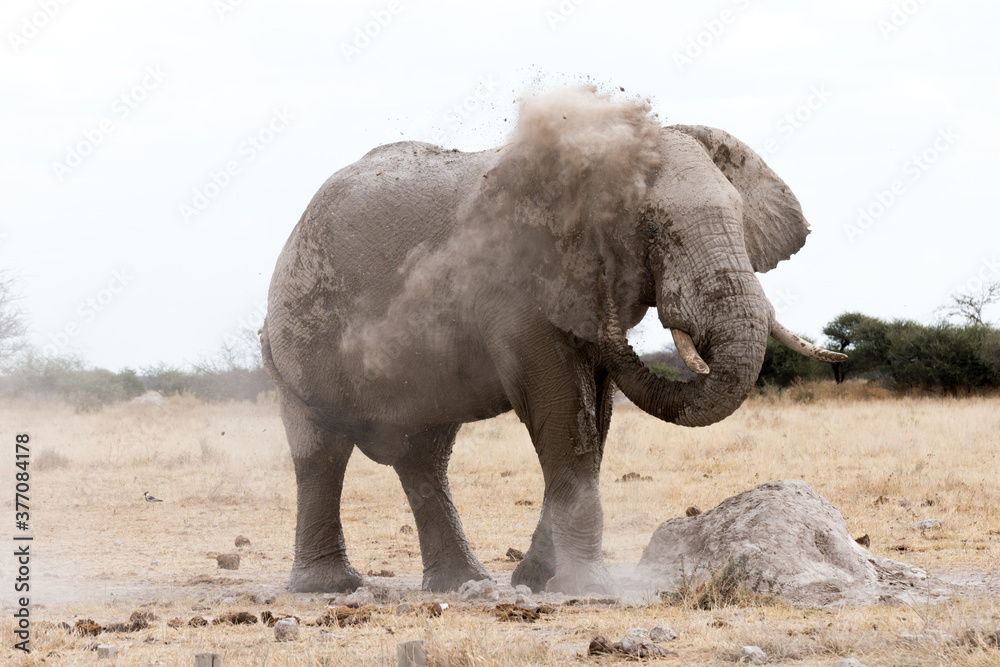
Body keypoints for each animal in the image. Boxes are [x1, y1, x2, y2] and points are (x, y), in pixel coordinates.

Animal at [261, 86, 844, 595]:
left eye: (741, 220)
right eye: (651, 230)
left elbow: (595, 423)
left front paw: (538, 580)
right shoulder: (515, 291)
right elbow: (565, 416)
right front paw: (586, 587)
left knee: (424, 457)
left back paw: (459, 583)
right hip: (298, 334)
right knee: (322, 453)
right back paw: (330, 587)